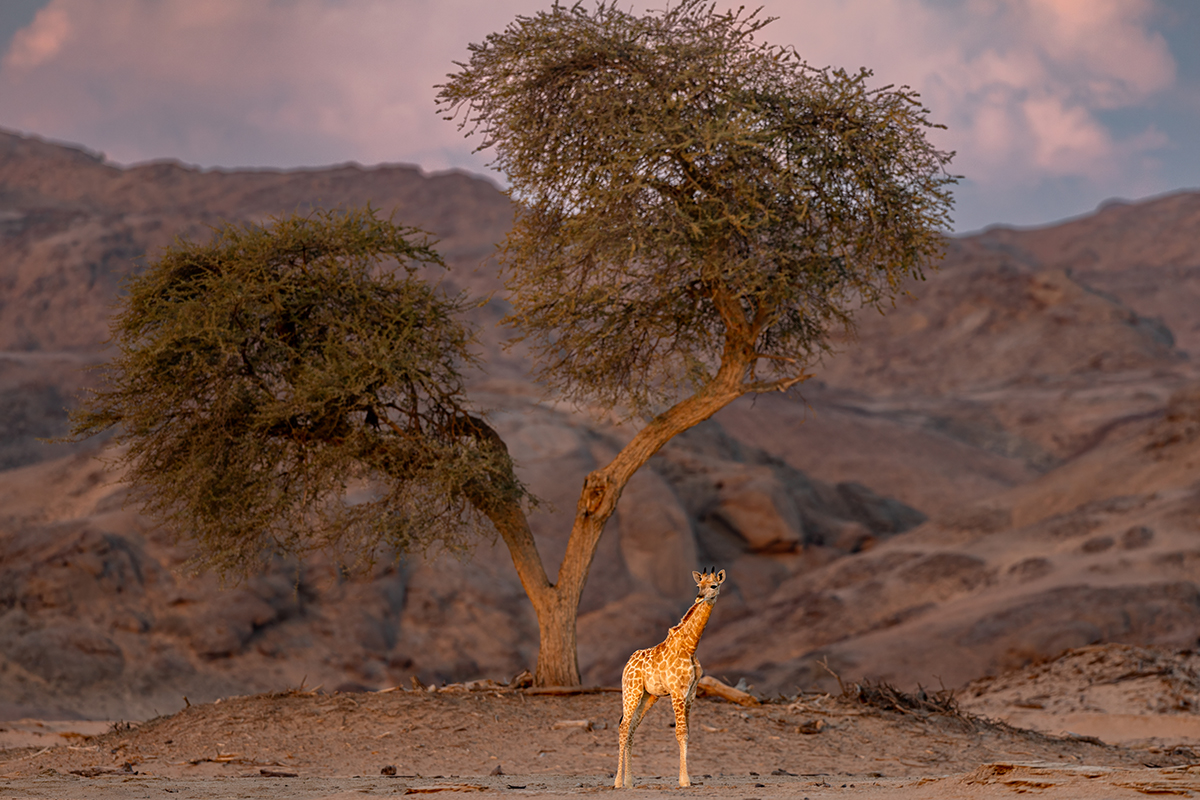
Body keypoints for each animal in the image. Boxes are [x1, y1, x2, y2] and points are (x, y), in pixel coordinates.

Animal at [614, 567, 726, 789]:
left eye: (713, 585)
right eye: (698, 585)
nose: (699, 597)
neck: (690, 647)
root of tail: (627, 664)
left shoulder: (691, 694)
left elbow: (687, 732)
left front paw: (686, 778)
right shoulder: (677, 691)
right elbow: (680, 733)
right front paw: (684, 780)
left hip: (648, 697)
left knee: (631, 730)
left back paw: (629, 781)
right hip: (631, 691)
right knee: (623, 727)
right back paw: (618, 782)